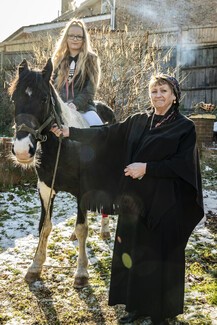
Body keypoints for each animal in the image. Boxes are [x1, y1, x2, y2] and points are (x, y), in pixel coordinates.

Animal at [9, 58, 115, 286]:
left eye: (43, 99)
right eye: (14, 98)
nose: (22, 150)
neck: (64, 144)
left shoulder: (83, 190)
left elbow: (82, 228)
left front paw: (81, 272)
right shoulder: (45, 188)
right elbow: (45, 226)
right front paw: (35, 266)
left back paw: (105, 230)